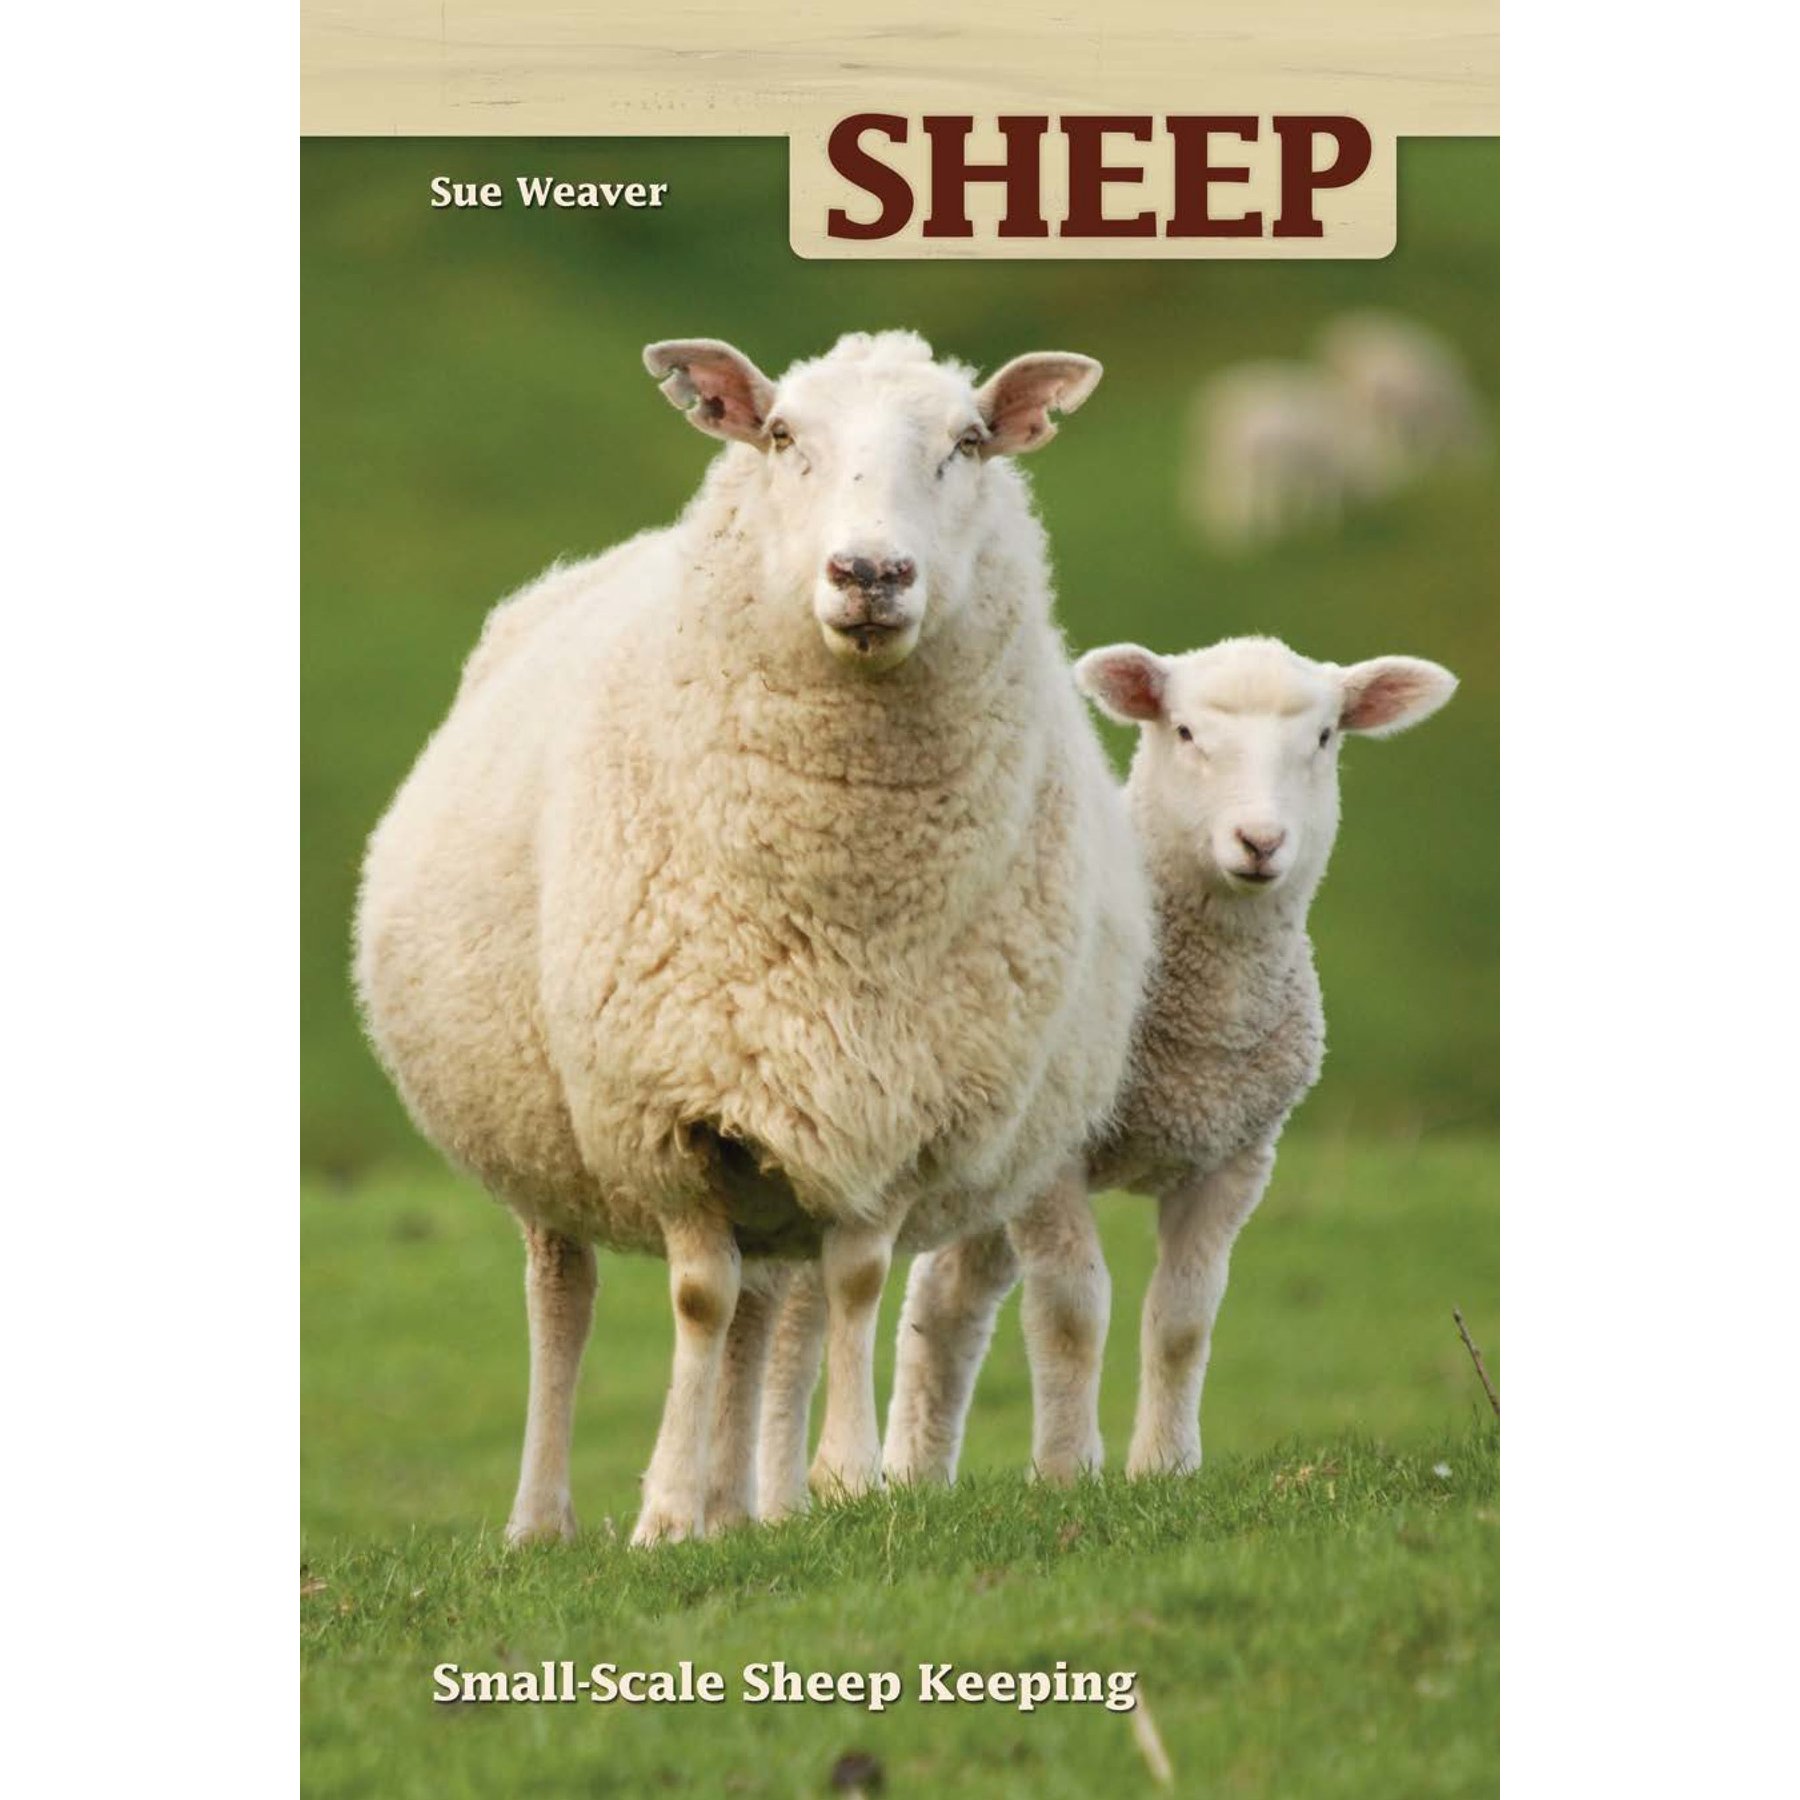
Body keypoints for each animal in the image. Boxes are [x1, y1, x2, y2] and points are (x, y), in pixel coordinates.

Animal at [353, 330, 1152, 1545]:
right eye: (780, 436)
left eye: (969, 441)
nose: (870, 574)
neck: (844, 902)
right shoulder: (668, 1112)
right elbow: (695, 1297)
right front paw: (664, 1514)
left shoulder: (888, 1107)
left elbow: (852, 1286)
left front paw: (841, 1482)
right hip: (547, 1132)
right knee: (566, 1303)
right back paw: (547, 1519)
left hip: (780, 1150)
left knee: (768, 1311)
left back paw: (742, 1508)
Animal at [877, 635, 1457, 1484]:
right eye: (1184, 732)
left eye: (1324, 738)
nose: (1260, 842)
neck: (1202, 1024)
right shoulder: (1057, 1164)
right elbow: (1071, 1312)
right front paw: (1066, 1472)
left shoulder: (1236, 1157)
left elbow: (1183, 1318)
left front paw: (1165, 1466)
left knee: (943, 1301)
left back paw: (912, 1479)